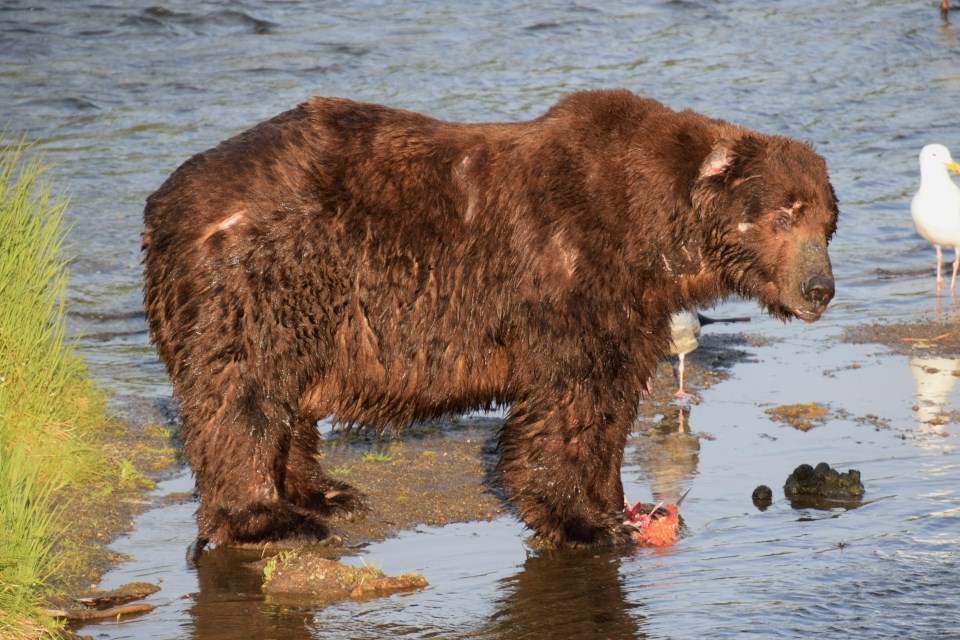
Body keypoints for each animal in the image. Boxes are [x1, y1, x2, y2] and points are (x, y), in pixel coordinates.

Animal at [141, 89, 832, 552]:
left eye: (826, 221)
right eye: (783, 213)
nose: (820, 288)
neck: (655, 231)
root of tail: (165, 203)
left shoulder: (634, 305)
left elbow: (612, 397)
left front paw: (612, 500)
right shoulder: (572, 269)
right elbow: (568, 396)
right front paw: (581, 519)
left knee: (285, 397)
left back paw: (327, 491)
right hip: (262, 277)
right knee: (244, 393)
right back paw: (269, 516)